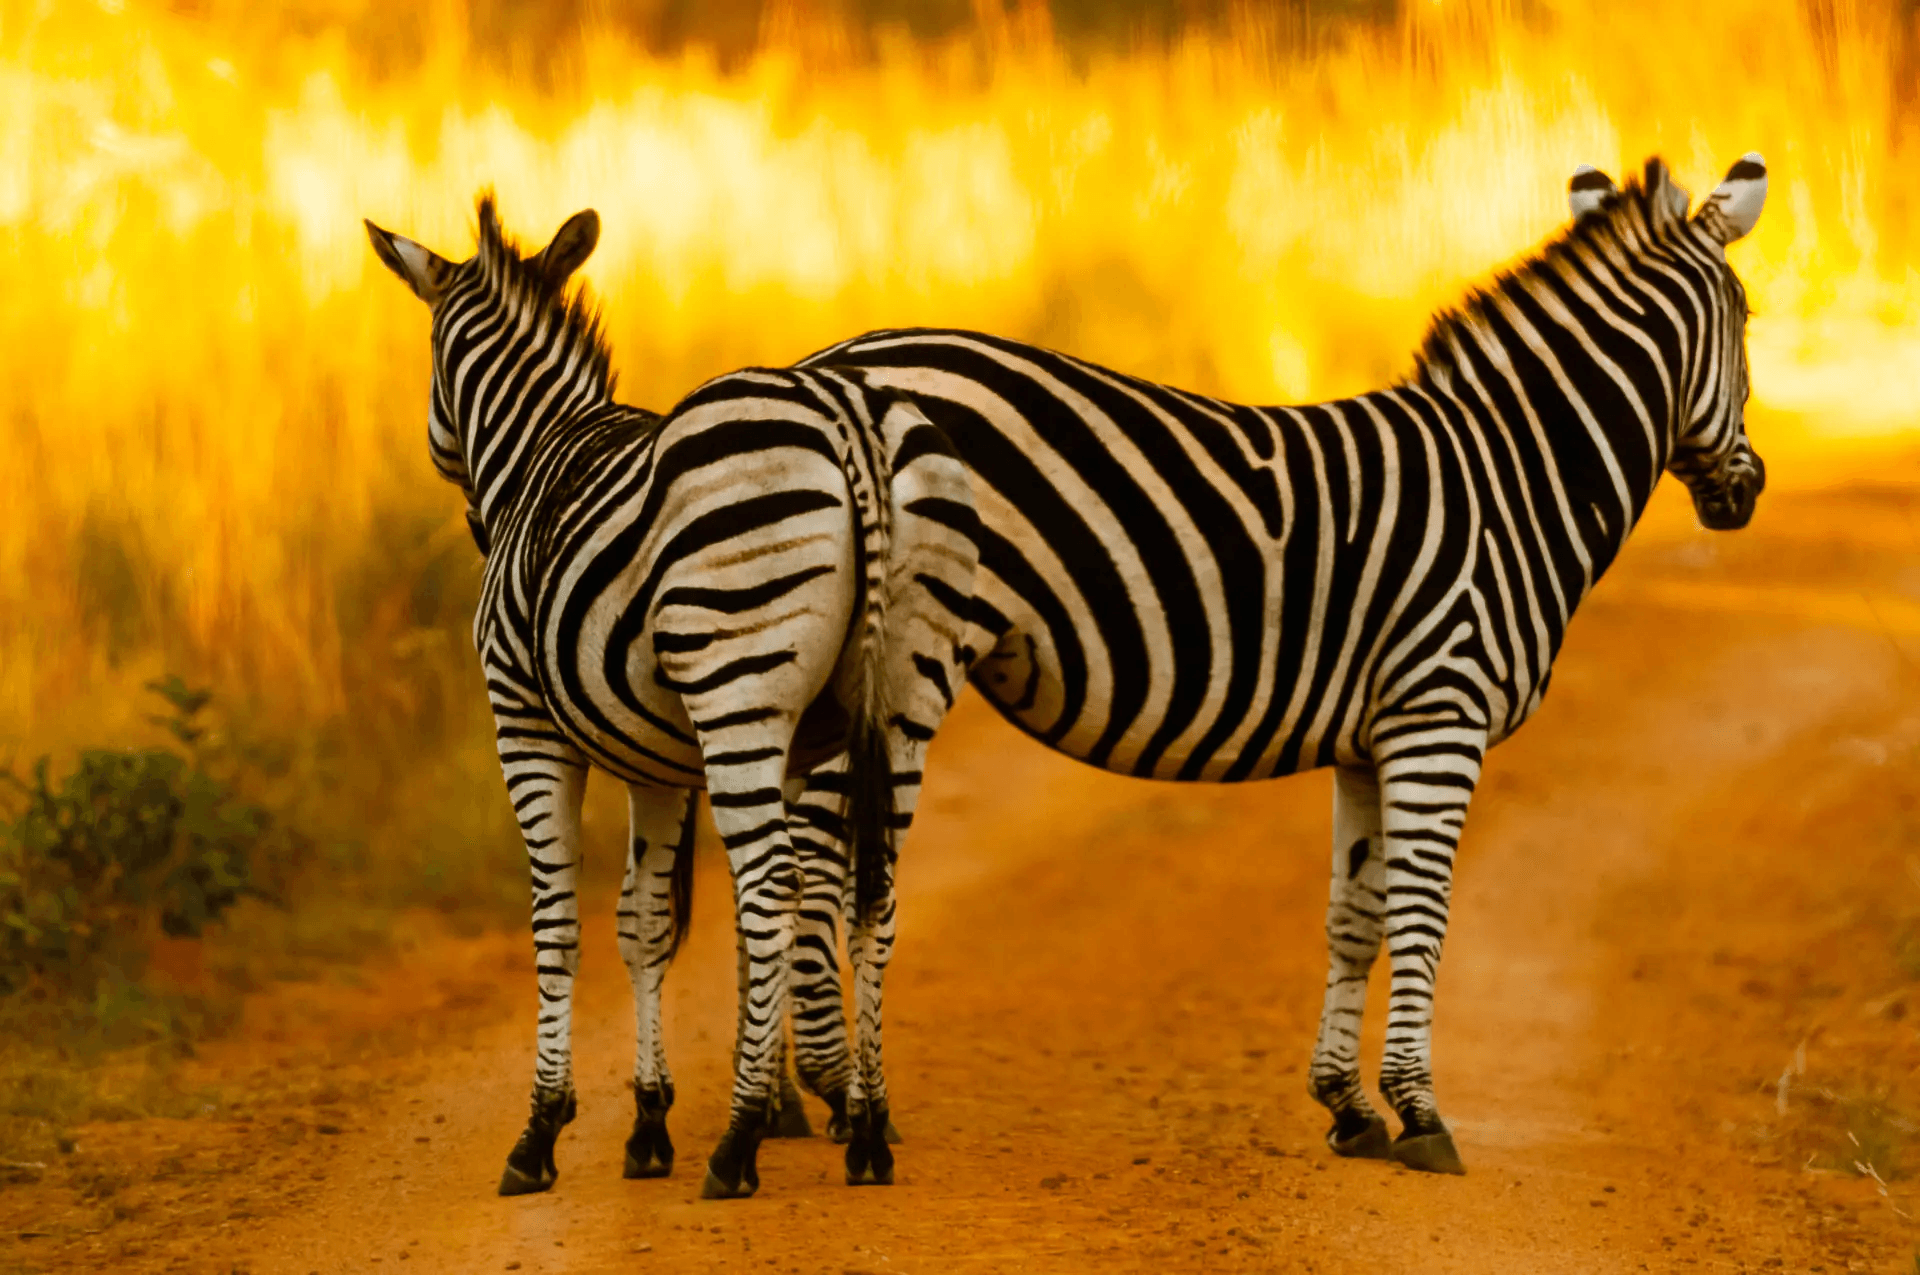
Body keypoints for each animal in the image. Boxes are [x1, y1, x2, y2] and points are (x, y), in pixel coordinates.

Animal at [366, 196, 983, 1198]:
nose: (470, 523)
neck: (538, 449)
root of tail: (848, 416)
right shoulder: (656, 760)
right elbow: (645, 922)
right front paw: (649, 1122)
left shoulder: (526, 722)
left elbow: (559, 921)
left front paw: (541, 1131)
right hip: (901, 705)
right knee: (874, 893)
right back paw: (866, 1133)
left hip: (737, 684)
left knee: (772, 885)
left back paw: (735, 1146)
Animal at [760, 151, 1766, 1175]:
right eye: (1747, 321)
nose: (1748, 490)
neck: (1512, 481)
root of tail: (832, 369)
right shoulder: (1439, 713)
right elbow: (1423, 911)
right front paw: (1422, 1110)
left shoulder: (1373, 737)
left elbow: (1356, 915)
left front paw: (1351, 1106)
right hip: (900, 664)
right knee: (826, 862)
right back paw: (845, 1096)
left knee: (784, 846)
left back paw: (783, 1100)